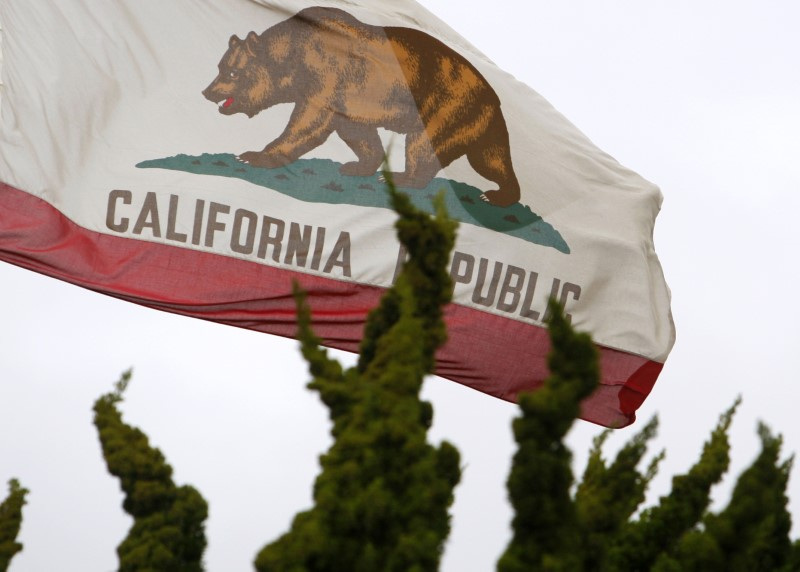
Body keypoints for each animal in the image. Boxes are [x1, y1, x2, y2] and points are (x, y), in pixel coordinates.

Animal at [203, 6, 520, 208]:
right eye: (220, 67)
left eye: (233, 73)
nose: (207, 92)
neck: (293, 55)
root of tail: (493, 96)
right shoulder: (349, 100)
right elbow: (357, 133)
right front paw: (357, 165)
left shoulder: (327, 76)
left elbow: (307, 122)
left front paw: (252, 155)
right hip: (478, 123)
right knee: (491, 159)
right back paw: (499, 194)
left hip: (446, 105)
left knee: (424, 146)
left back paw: (404, 178)